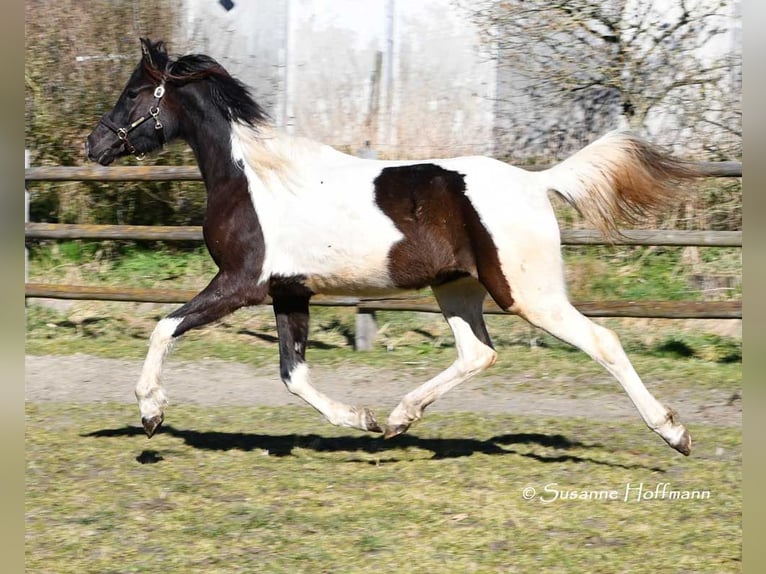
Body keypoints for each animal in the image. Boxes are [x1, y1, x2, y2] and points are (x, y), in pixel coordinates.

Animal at [86, 38, 701, 455]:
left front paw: (151, 413)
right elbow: (293, 374)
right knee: (478, 353)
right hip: (456, 289)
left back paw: (673, 432)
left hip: (527, 294)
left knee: (602, 340)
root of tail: (535, 182)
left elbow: (165, 326)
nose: (94, 144)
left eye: (134, 93)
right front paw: (362, 420)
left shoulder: (241, 283)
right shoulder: (290, 291)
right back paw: (401, 417)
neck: (253, 177)